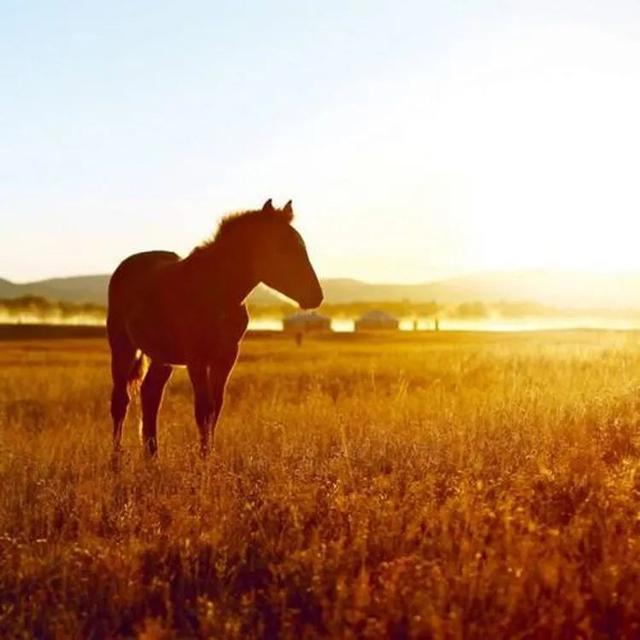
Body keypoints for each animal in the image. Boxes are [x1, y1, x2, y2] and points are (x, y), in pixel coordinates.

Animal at [108, 198, 324, 458]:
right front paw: (202, 462)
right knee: (121, 401)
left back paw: (152, 457)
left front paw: (208, 457)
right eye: (282, 248)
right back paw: (116, 460)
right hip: (122, 345)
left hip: (161, 355)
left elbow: (216, 408)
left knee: (150, 395)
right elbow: (203, 409)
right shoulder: (196, 357)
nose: (316, 296)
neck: (218, 290)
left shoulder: (227, 355)